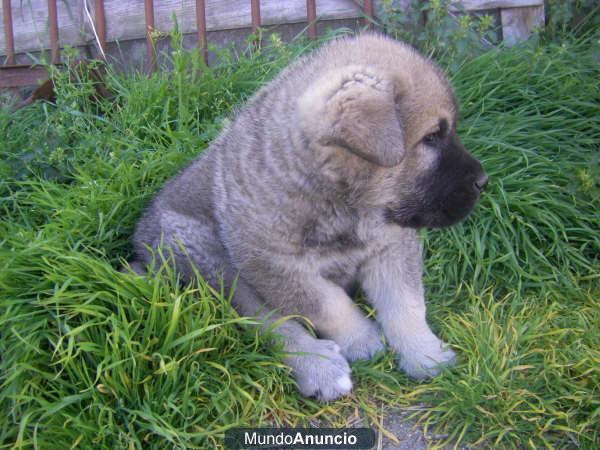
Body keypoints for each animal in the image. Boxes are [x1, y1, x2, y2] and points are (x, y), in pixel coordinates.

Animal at [130, 34, 488, 400]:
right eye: (431, 138)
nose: (483, 182)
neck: (342, 203)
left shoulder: (392, 242)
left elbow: (406, 304)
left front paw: (424, 353)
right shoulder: (274, 265)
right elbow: (327, 303)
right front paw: (362, 339)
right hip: (204, 256)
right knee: (264, 321)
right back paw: (319, 365)